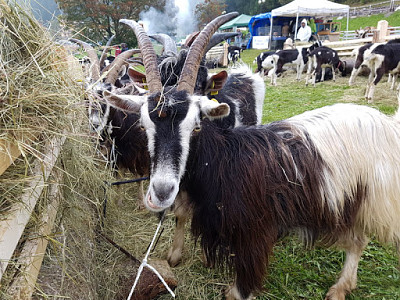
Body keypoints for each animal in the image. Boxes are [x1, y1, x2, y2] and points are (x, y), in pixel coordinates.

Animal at [104, 12, 400, 300]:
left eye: (196, 125)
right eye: (144, 125)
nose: (162, 191)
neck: (225, 160)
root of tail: (386, 124)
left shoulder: (253, 238)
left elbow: (240, 291)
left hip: (367, 198)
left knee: (358, 242)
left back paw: (339, 288)